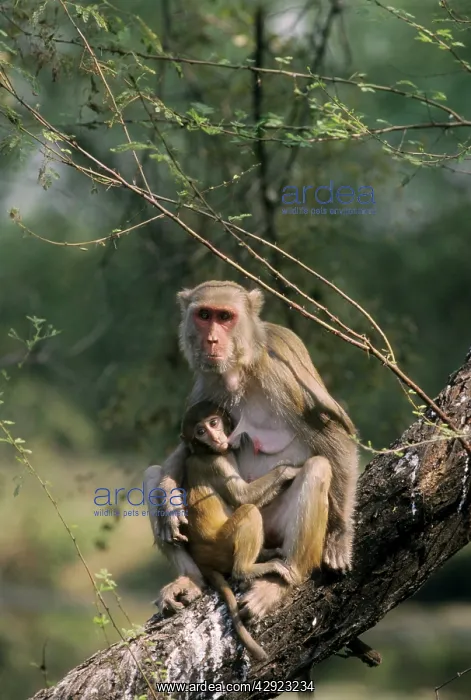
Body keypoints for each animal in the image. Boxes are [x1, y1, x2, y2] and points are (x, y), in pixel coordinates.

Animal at [145, 279, 358, 621]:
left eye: (224, 316)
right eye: (204, 315)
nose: (211, 339)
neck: (239, 370)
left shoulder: (282, 375)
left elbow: (335, 438)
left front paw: (340, 535)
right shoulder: (207, 383)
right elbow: (186, 449)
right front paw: (169, 497)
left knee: (319, 467)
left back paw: (282, 581)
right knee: (152, 473)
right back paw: (191, 579)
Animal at [178, 400, 300, 660]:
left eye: (213, 423)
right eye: (200, 431)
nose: (215, 437)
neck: (206, 452)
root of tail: (201, 558)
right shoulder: (218, 464)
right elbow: (243, 497)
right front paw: (290, 470)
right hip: (221, 545)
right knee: (249, 510)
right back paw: (246, 569)